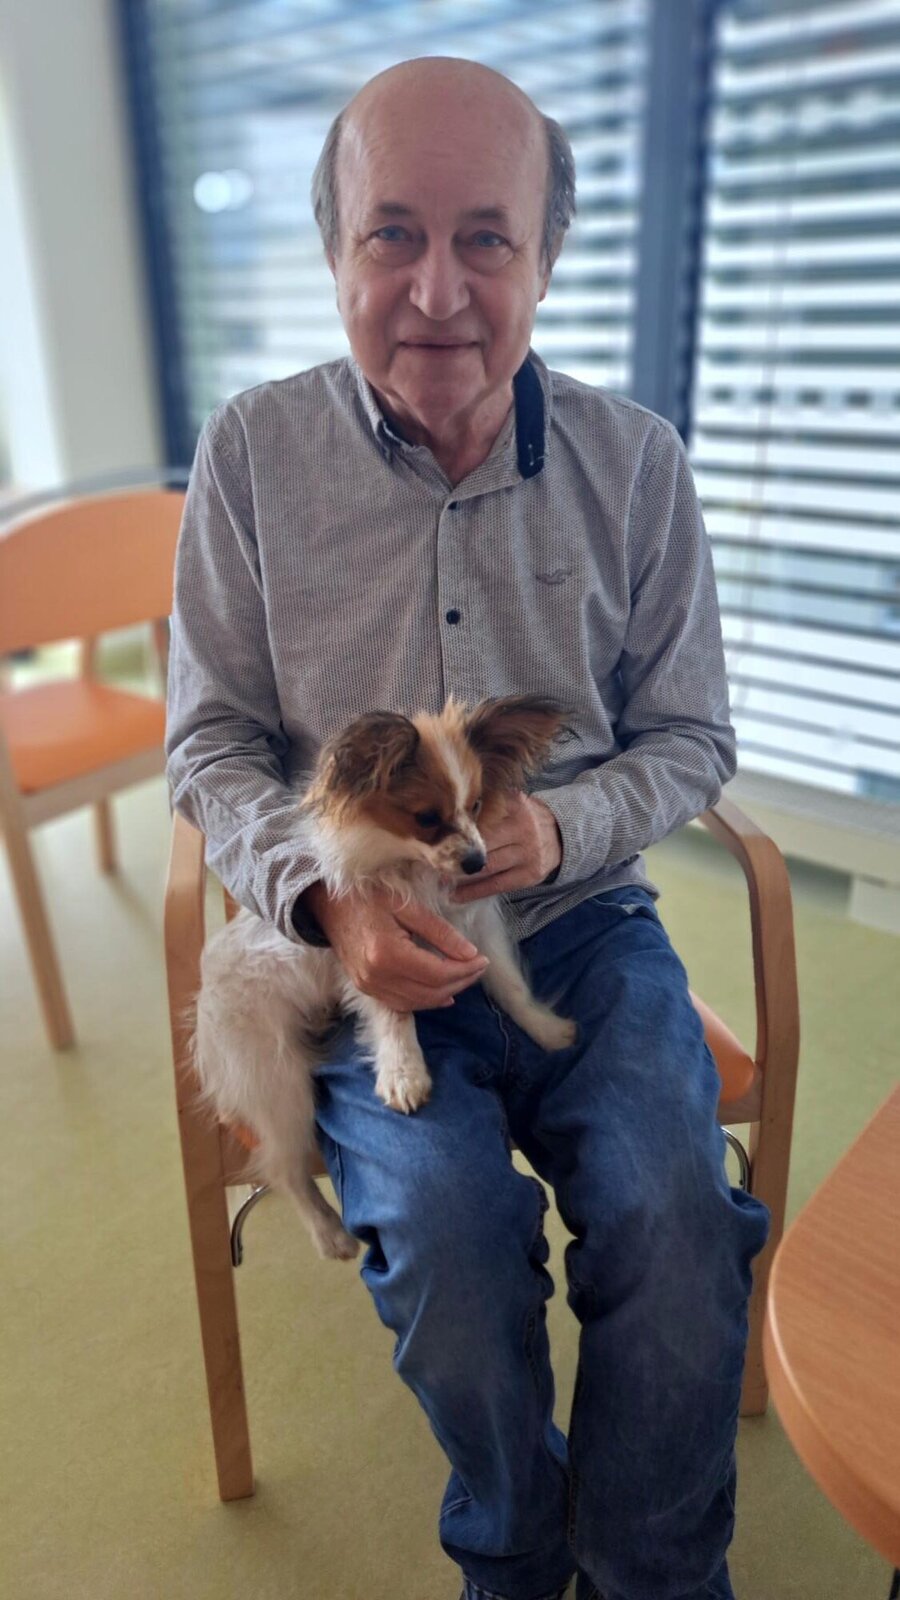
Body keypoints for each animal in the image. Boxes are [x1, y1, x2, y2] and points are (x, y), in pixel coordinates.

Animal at [193, 694, 577, 1261]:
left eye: (476, 806)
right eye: (426, 818)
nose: (477, 860)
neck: (412, 868)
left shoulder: (476, 927)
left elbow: (509, 985)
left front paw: (546, 1029)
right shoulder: (376, 952)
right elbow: (395, 1013)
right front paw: (404, 1073)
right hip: (278, 1083)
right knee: (284, 1170)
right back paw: (328, 1232)